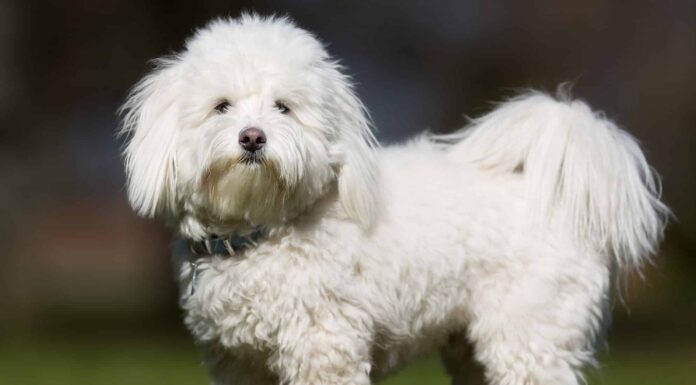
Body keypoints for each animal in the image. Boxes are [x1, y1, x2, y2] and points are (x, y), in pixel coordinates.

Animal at [119, 13, 668, 382]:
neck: (260, 233)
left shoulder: (324, 348)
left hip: (530, 335)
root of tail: (557, 197)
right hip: (470, 347)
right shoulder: (239, 363)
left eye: (283, 107)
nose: (252, 137)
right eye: (221, 107)